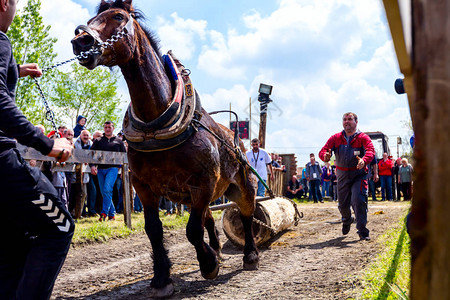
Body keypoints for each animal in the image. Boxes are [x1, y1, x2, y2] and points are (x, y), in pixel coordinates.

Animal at [71, 0, 258, 296]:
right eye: (91, 20)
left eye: (118, 16)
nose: (81, 41)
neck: (156, 122)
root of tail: (234, 137)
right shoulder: (143, 186)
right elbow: (154, 230)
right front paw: (162, 278)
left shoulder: (203, 183)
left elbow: (192, 230)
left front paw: (208, 264)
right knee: (209, 218)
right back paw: (216, 248)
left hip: (241, 185)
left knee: (247, 214)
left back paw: (249, 255)